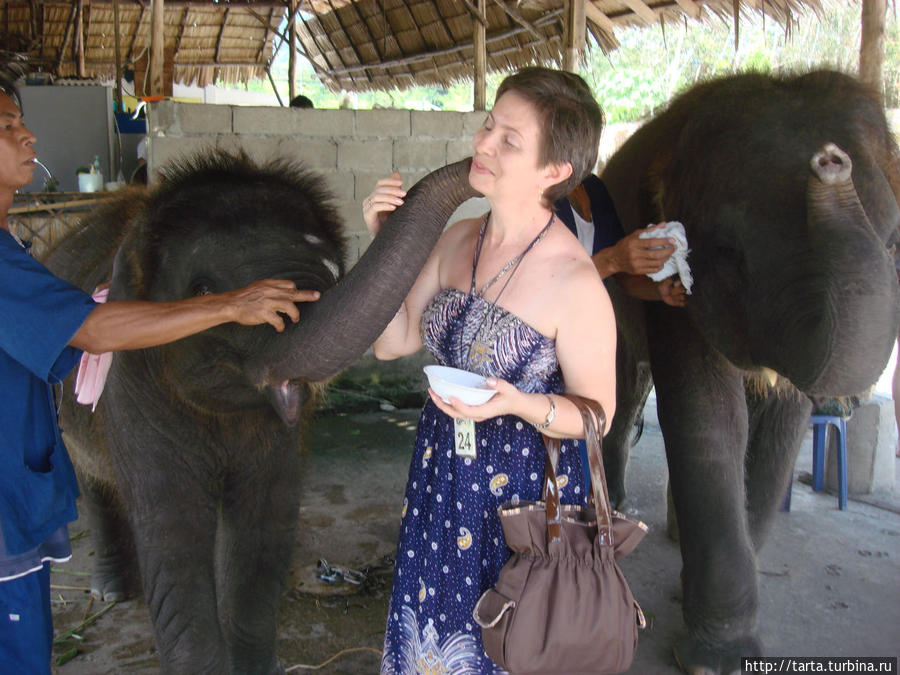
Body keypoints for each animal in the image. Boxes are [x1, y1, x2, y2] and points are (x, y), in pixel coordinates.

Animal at [46, 151, 478, 672]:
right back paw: (110, 591)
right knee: (89, 480)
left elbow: (265, 518)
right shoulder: (132, 382)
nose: (477, 160)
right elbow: (172, 528)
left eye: (333, 273)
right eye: (203, 290)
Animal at [596, 71, 900, 672]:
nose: (831, 161)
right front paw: (717, 658)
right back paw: (619, 506)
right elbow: (710, 418)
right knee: (627, 385)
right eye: (728, 251)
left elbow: (782, 427)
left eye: (895, 242)